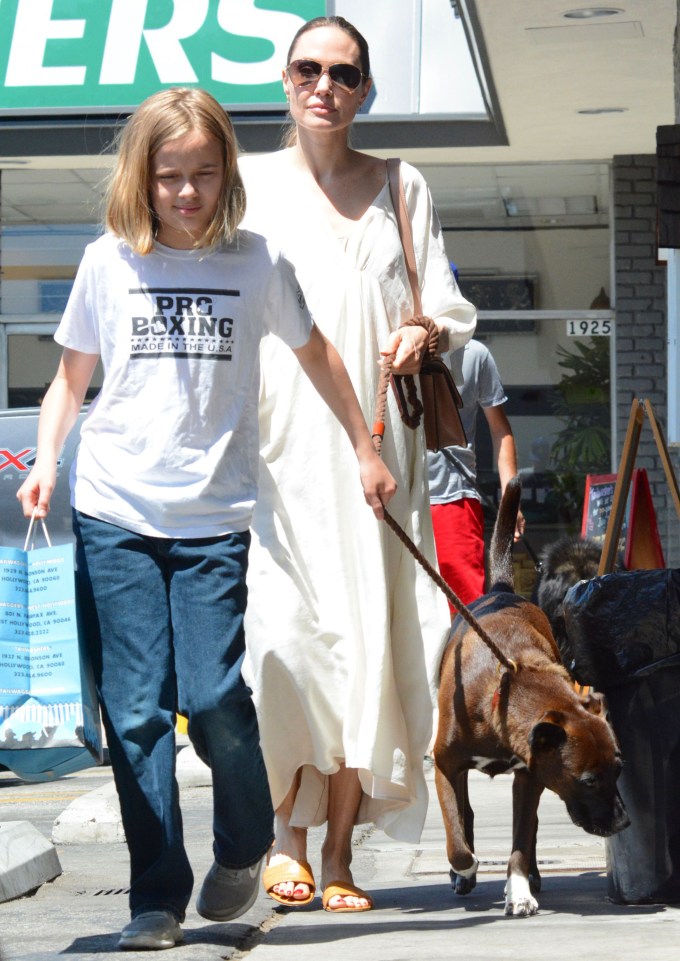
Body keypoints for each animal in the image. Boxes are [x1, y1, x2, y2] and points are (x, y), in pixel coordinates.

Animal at [432, 476, 628, 920]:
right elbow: (456, 832)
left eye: (619, 770)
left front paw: (519, 890)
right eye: (589, 781)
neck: (505, 689)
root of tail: (503, 588)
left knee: (531, 828)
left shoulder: (532, 774)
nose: (623, 824)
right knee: (464, 815)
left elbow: (522, 839)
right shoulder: (444, 764)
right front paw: (464, 867)